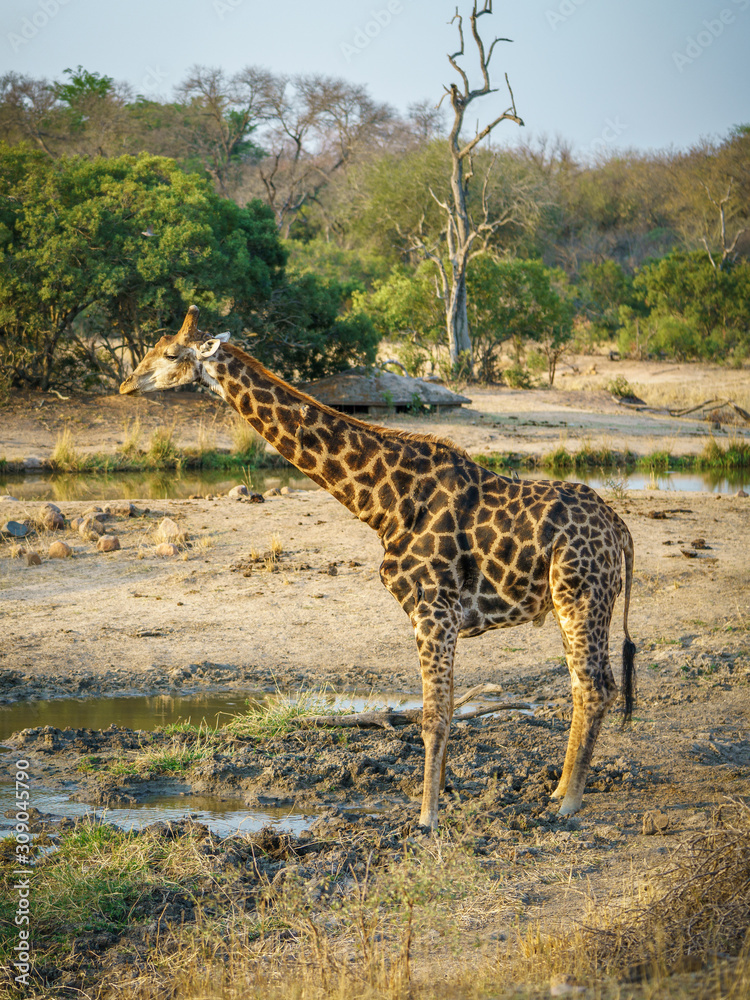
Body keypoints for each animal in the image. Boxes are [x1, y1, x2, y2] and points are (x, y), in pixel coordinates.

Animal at [120, 306, 636, 830]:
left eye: (169, 353)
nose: (126, 384)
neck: (384, 503)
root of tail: (620, 530)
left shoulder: (434, 611)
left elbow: (433, 716)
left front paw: (426, 820)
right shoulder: (436, 616)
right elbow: (443, 709)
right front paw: (440, 800)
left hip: (581, 596)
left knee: (594, 687)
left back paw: (569, 805)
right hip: (571, 602)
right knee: (585, 686)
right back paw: (557, 791)